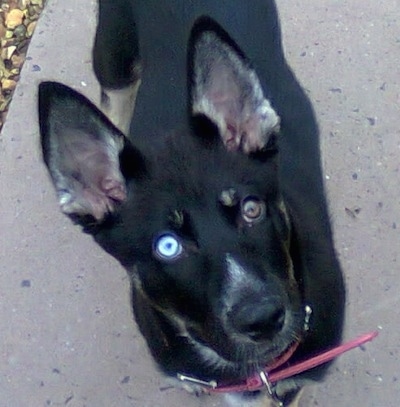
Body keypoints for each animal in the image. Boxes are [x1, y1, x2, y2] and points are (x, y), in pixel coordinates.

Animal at [38, 1, 344, 406]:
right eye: (167, 246)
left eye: (252, 209)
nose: (262, 318)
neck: (254, 370)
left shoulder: (294, 381)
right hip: (113, 56)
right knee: (113, 102)